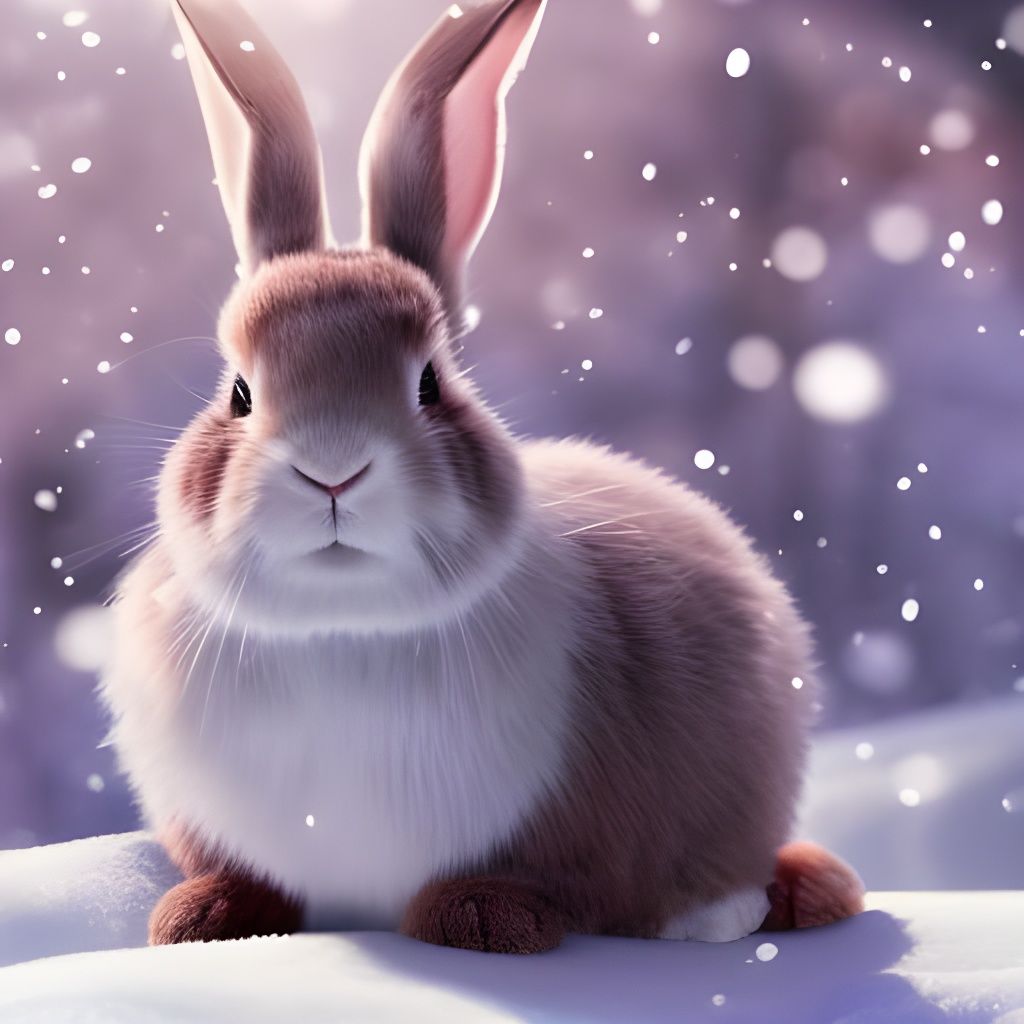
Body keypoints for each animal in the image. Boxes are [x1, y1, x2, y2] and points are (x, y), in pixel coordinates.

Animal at [101, 0, 864, 954]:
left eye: (430, 383)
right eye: (238, 394)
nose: (333, 470)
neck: (343, 629)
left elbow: (549, 883)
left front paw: (479, 916)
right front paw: (198, 917)